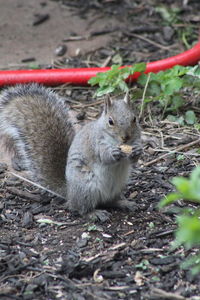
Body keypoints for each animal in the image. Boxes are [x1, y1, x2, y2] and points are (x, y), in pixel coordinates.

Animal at [0, 84, 141, 220]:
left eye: (134, 118)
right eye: (110, 121)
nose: (126, 137)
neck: (116, 142)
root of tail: (69, 191)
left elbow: (134, 158)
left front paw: (138, 151)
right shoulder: (95, 143)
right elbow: (103, 156)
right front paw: (113, 153)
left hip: (118, 186)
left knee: (109, 201)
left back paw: (124, 203)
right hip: (86, 187)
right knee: (80, 208)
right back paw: (94, 213)